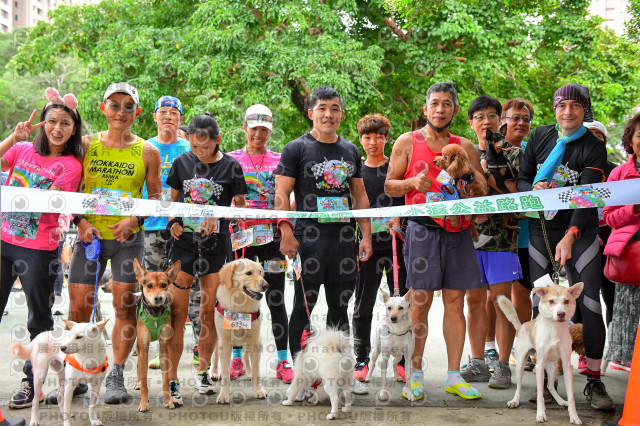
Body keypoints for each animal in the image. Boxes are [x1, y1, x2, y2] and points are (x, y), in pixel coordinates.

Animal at [130, 258, 180, 412]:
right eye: (149, 285)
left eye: (164, 285)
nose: (158, 298)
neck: (156, 313)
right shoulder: (144, 346)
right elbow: (145, 379)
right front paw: (143, 403)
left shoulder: (164, 346)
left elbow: (165, 379)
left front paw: (168, 401)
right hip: (139, 344)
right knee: (138, 365)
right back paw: (137, 382)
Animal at [500, 282, 584, 426]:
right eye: (551, 301)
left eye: (566, 301)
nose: (561, 314)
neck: (555, 328)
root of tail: (522, 326)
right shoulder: (539, 366)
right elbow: (540, 395)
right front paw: (541, 414)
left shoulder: (566, 365)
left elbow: (571, 396)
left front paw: (574, 416)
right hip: (521, 363)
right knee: (519, 386)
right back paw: (515, 401)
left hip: (552, 366)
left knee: (550, 385)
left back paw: (560, 400)